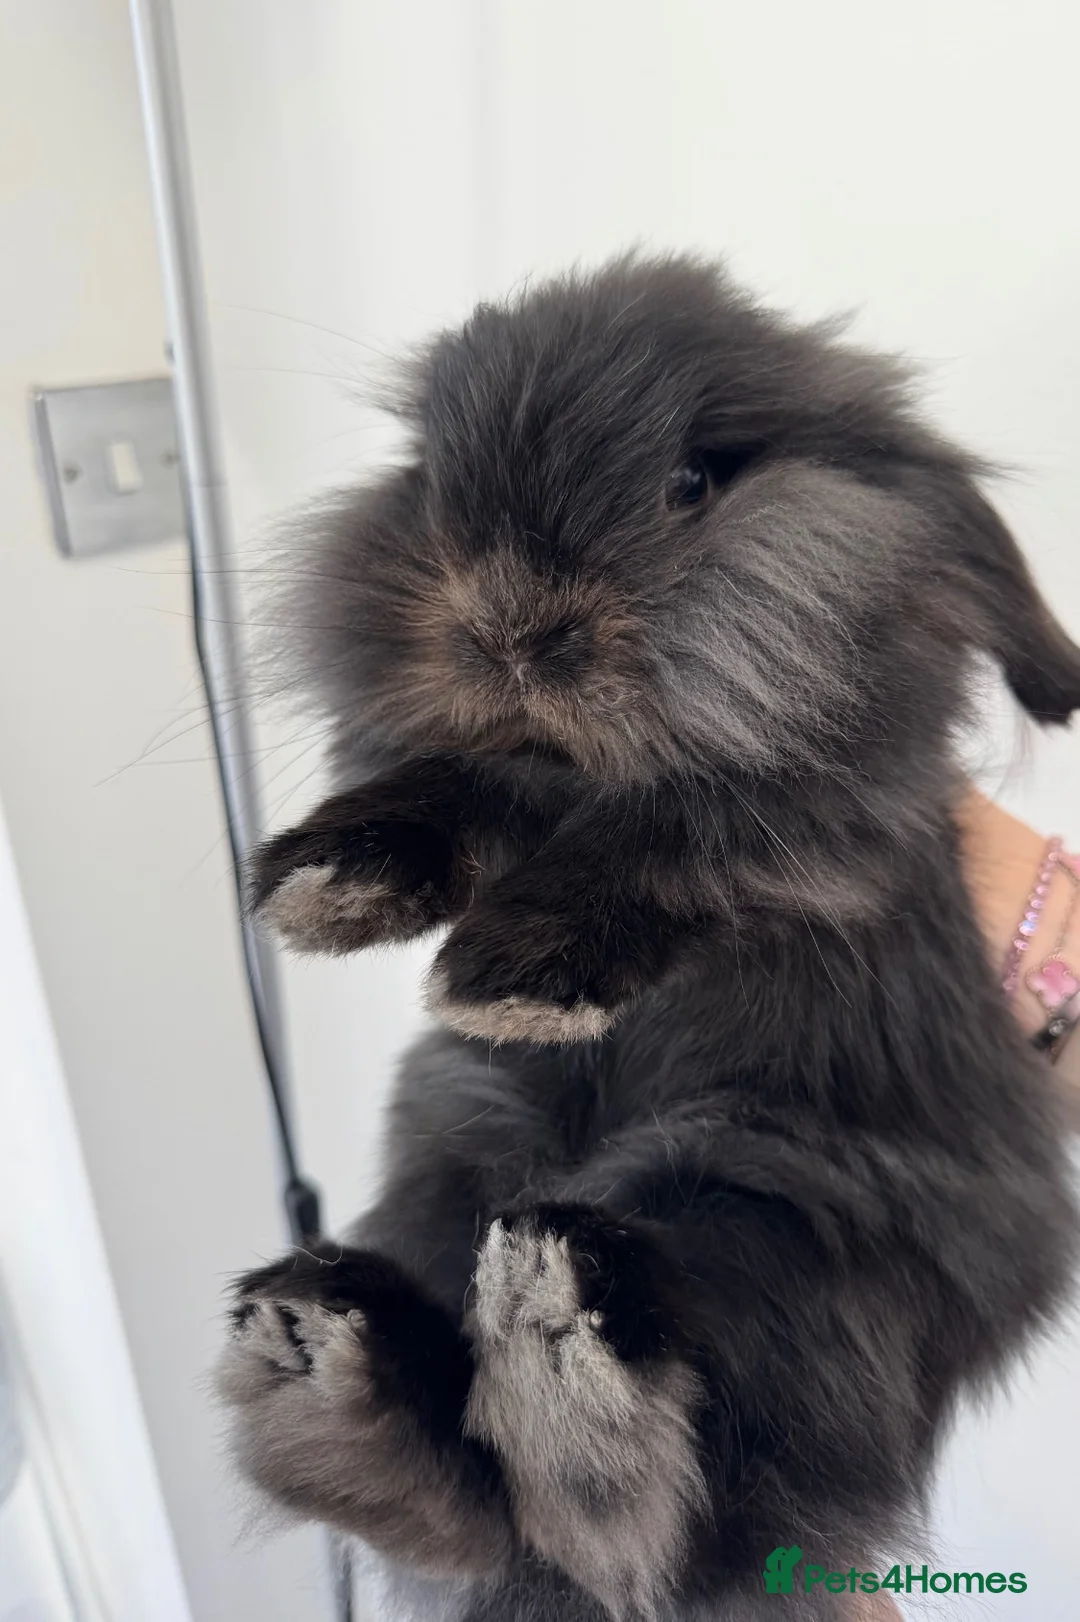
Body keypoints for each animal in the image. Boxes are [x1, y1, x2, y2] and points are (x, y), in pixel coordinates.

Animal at [216, 255, 1080, 1622]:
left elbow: (679, 833)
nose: (510, 629)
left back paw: (558, 1329)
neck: (579, 766)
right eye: (429, 473)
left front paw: (514, 974)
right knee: (471, 1495)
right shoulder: (493, 774)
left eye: (691, 483)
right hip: (452, 1156)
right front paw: (326, 881)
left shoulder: (832, 808)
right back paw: (326, 1348)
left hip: (797, 1223)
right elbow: (452, 784)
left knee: (653, 1512)